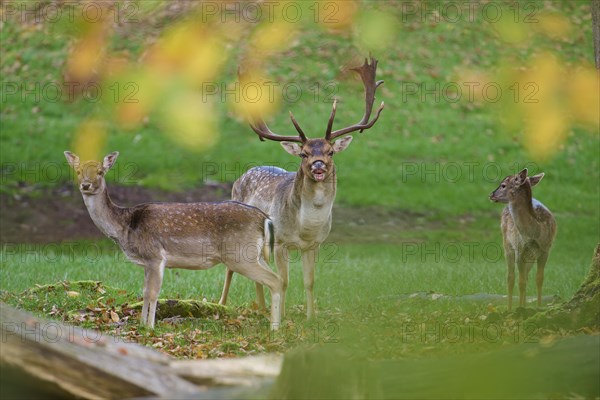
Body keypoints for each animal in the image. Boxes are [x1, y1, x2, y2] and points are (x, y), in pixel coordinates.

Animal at [63, 152, 284, 330]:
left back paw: (274, 328)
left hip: (240, 255)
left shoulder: (155, 255)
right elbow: (144, 291)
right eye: (78, 171)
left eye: (100, 172)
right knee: (279, 280)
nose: (86, 185)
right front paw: (142, 324)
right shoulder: (147, 262)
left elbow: (153, 293)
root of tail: (264, 218)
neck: (125, 226)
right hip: (254, 254)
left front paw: (150, 327)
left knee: (275, 280)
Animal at [219, 57, 384, 318]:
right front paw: (283, 315)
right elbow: (284, 281)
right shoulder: (280, 242)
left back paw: (262, 308)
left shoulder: (314, 245)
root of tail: (240, 177)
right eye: (304, 153)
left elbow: (310, 281)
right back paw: (223, 304)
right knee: (230, 269)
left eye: (330, 151)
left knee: (257, 273)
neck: (304, 228)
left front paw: (310, 317)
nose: (318, 165)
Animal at [490, 167, 556, 310]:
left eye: (503, 185)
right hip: (507, 244)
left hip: (530, 256)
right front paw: (520, 309)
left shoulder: (545, 250)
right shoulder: (520, 250)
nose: (491, 194)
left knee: (525, 276)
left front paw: (538, 307)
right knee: (511, 278)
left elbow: (539, 279)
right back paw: (510, 308)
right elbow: (520, 283)